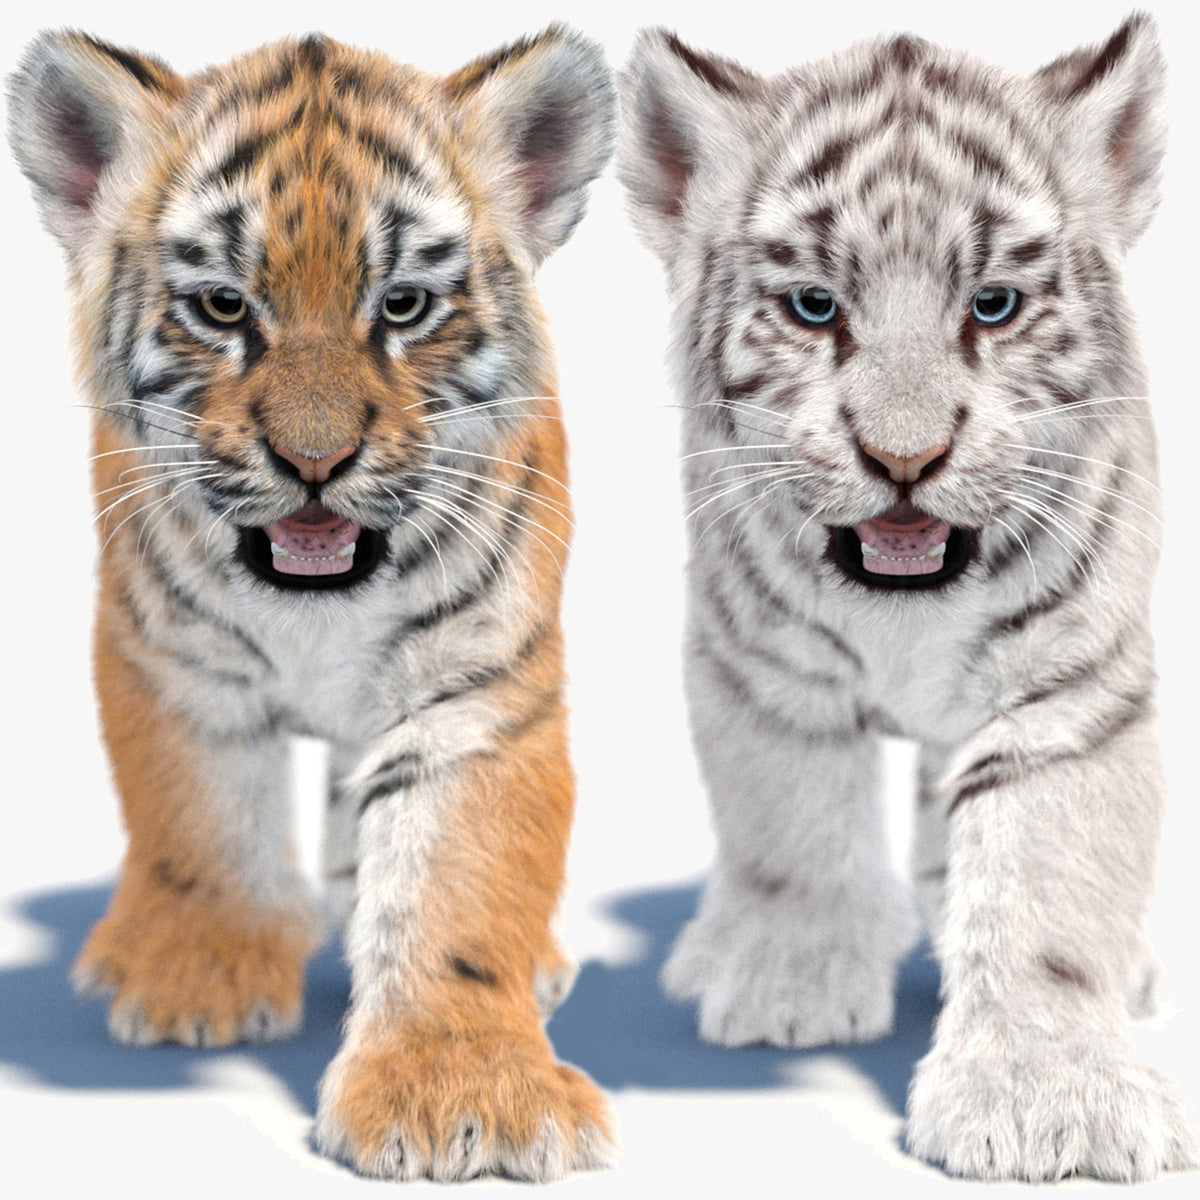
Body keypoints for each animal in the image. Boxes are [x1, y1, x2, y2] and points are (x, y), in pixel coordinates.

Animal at [7, 26, 615, 1181]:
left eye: (404, 306)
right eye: (224, 306)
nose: (315, 463)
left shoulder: (473, 697)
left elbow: (458, 884)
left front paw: (460, 1095)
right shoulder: (174, 661)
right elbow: (198, 816)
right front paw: (196, 977)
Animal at [617, 14, 1195, 1182]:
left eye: (992, 306)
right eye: (815, 308)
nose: (904, 460)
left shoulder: (1065, 699)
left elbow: (1047, 886)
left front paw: (1048, 1097)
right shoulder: (762, 670)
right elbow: (788, 825)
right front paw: (790, 982)